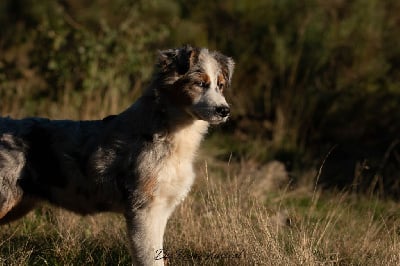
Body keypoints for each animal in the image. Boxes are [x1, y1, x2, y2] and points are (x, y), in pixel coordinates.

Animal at [0, 45, 234, 264]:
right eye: (199, 83)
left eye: (220, 85)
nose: (225, 110)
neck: (171, 131)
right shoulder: (144, 208)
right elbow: (149, 258)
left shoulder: (161, 209)